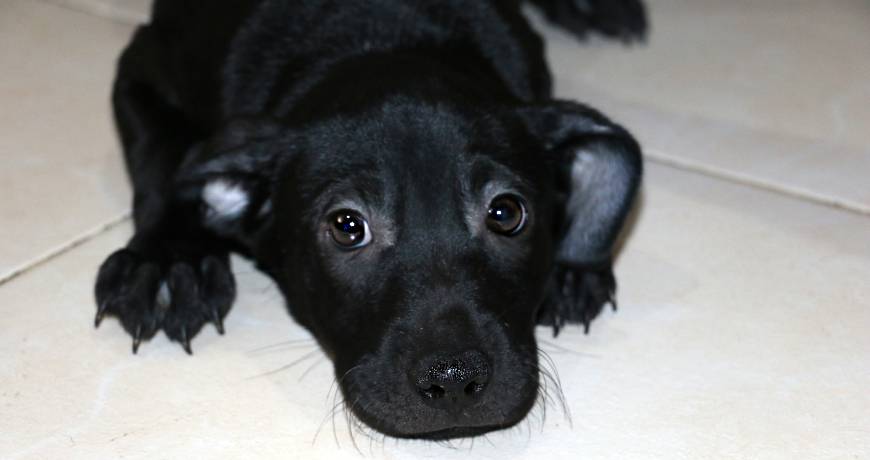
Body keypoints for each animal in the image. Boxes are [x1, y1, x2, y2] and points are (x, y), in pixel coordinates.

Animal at [94, 0, 645, 439]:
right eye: (347, 226)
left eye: (507, 213)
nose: (453, 380)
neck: (380, 33)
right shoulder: (141, 66)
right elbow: (165, 161)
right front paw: (169, 261)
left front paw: (573, 268)